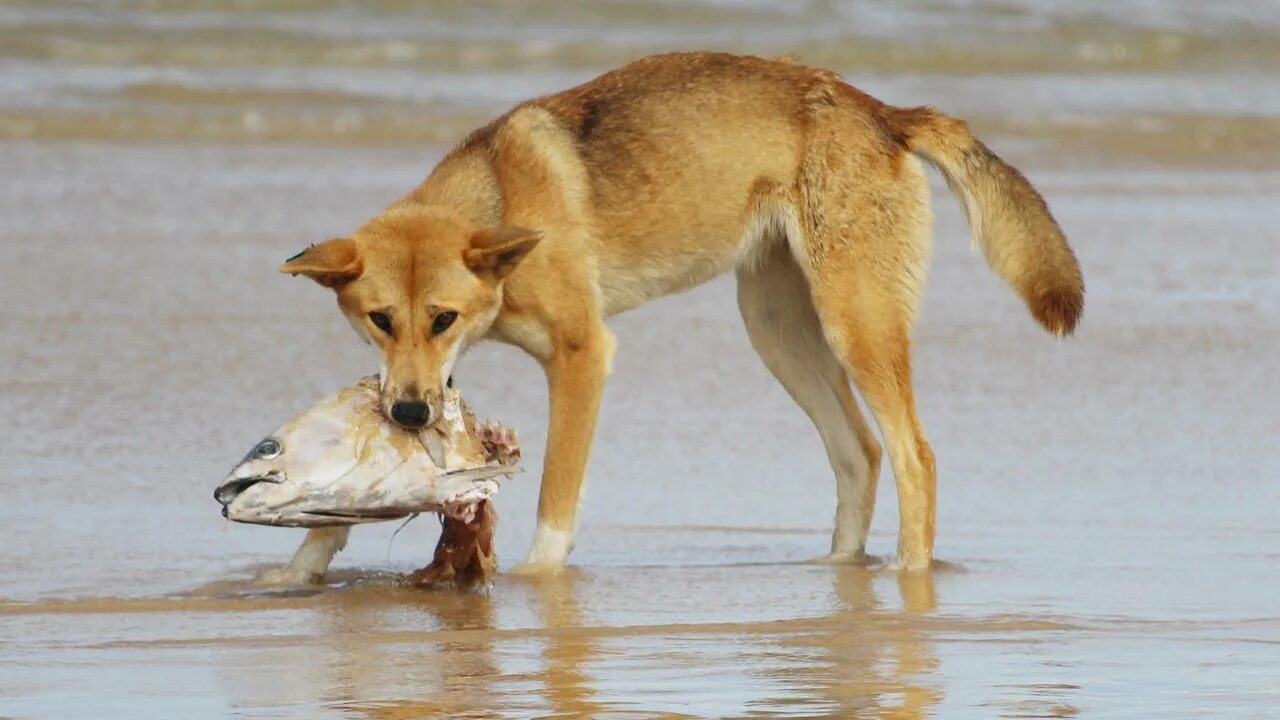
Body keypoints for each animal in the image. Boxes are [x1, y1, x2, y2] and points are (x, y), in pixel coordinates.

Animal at [272, 51, 1080, 576]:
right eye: (379, 320)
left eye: (442, 317)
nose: (408, 414)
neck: (502, 202)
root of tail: (884, 113)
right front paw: (302, 564)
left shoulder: (581, 355)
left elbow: (556, 499)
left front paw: (537, 584)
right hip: (778, 331)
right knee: (860, 451)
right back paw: (838, 571)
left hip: (855, 325)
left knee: (915, 455)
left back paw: (909, 577)